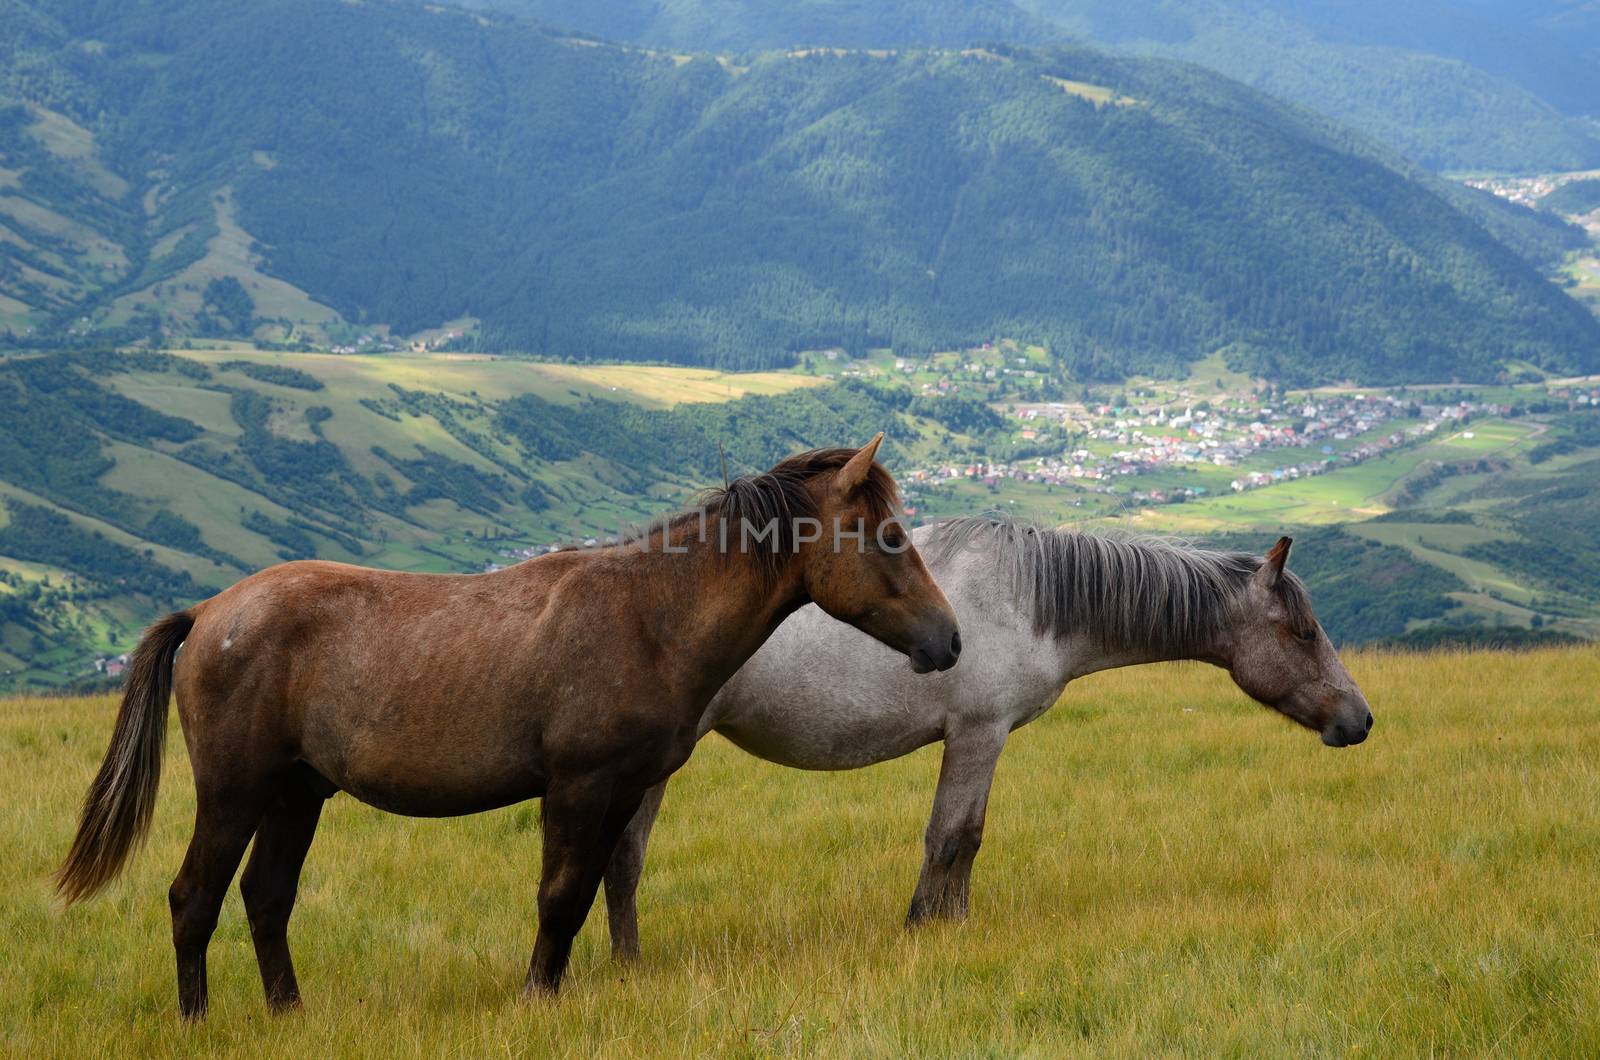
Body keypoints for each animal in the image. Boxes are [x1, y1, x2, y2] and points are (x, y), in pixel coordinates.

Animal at [59, 435, 960, 1018]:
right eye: (887, 535)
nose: (948, 641)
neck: (650, 617)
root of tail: (211, 613)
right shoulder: (578, 786)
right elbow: (559, 898)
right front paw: (535, 999)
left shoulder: (620, 793)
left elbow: (589, 893)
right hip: (234, 793)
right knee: (194, 898)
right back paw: (198, 1020)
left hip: (296, 797)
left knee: (265, 898)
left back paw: (291, 1016)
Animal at [601, 515, 1376, 954]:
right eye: (1303, 632)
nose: (1360, 719)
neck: (1027, 598)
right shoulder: (978, 734)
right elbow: (950, 838)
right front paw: (921, 932)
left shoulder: (985, 739)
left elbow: (968, 840)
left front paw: (956, 929)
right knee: (624, 859)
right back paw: (629, 966)